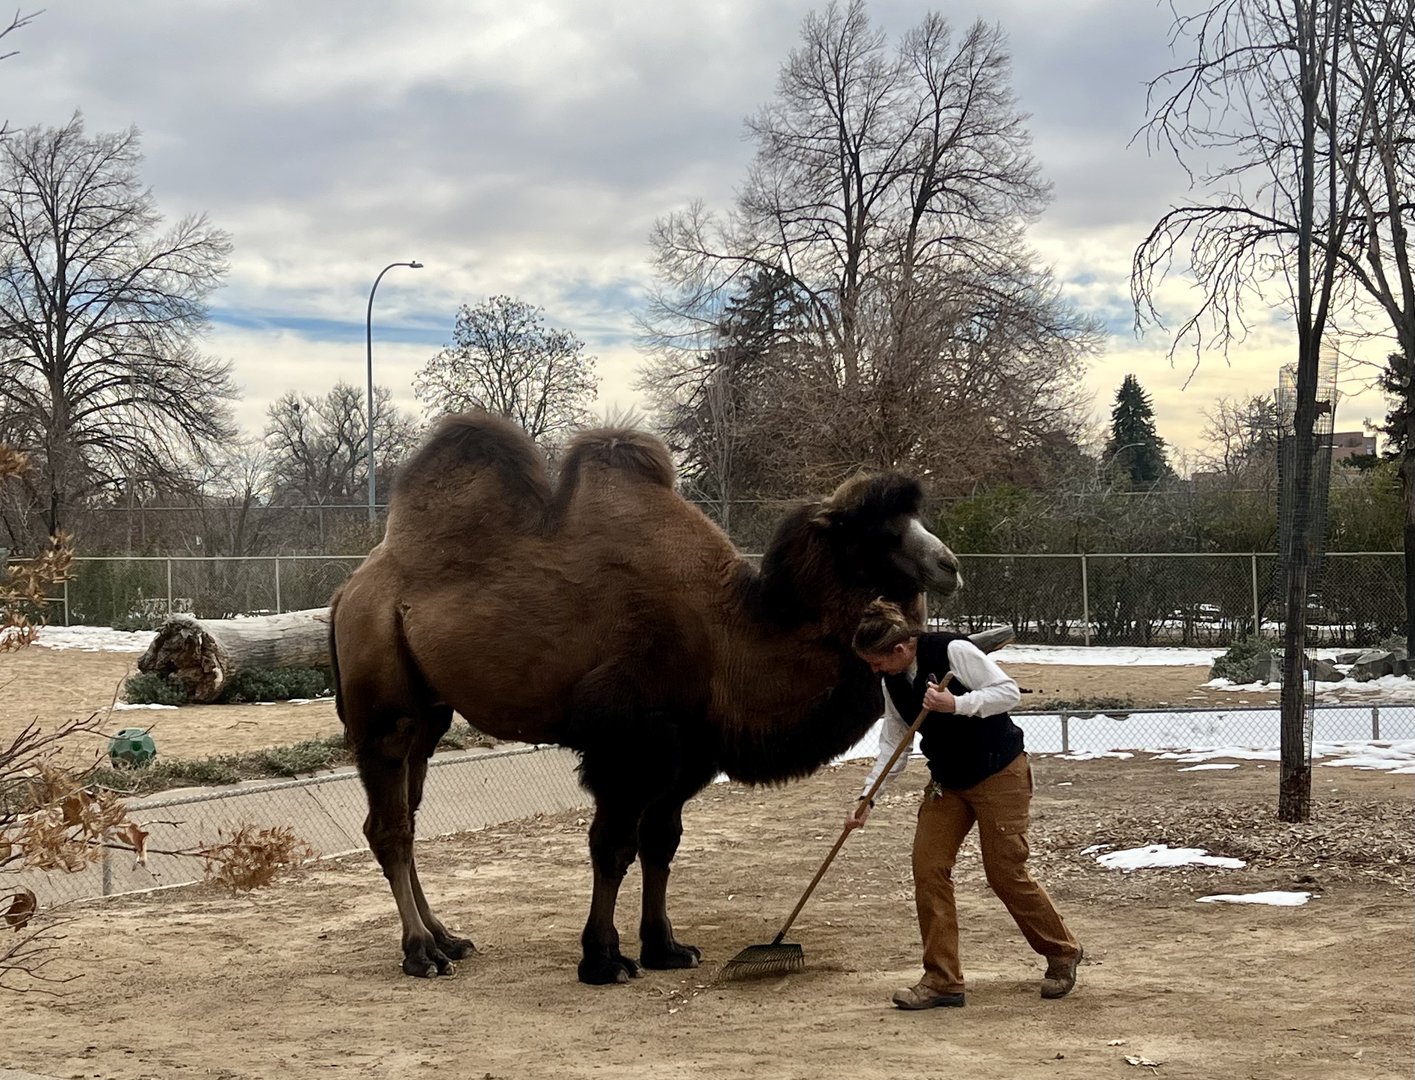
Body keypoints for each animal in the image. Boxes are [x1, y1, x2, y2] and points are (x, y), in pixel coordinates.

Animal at [329, 412, 961, 982]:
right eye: (878, 530)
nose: (949, 564)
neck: (729, 633)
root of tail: (349, 591)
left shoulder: (689, 749)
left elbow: (661, 842)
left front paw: (666, 948)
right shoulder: (629, 743)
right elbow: (612, 846)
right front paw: (603, 960)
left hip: (430, 714)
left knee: (407, 811)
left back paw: (447, 938)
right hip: (383, 701)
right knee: (390, 826)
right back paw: (421, 953)